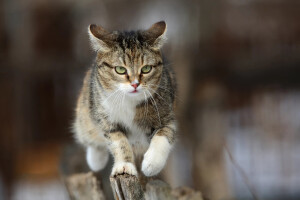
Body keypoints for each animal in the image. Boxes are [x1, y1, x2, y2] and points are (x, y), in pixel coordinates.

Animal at [73, 20, 177, 177]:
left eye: (146, 68)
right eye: (120, 69)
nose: (135, 84)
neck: (130, 102)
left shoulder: (166, 114)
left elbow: (164, 134)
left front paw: (152, 164)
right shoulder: (106, 119)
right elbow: (119, 142)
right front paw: (125, 165)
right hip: (85, 112)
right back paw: (96, 160)